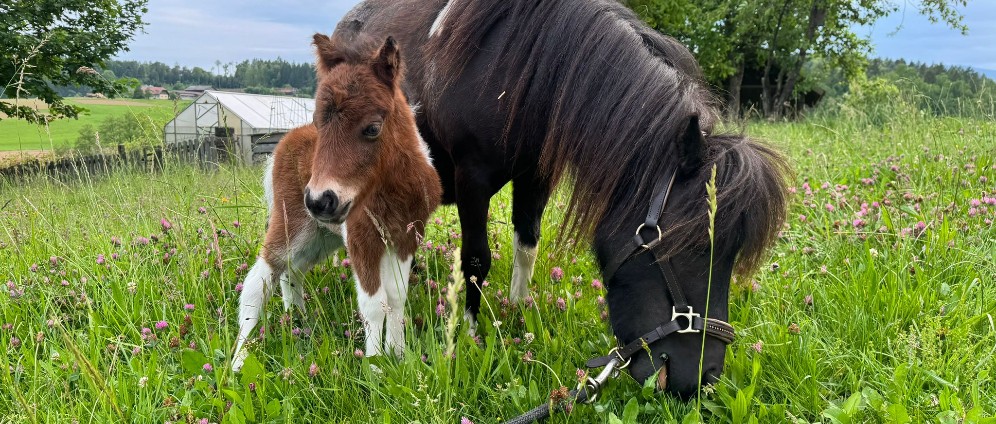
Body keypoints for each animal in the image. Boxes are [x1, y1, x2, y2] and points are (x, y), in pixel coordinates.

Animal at [232, 34, 442, 371]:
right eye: (319, 123)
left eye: (372, 128)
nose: (320, 200)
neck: (391, 190)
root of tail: (283, 143)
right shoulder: (361, 237)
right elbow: (374, 304)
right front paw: (375, 368)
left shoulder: (406, 235)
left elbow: (396, 297)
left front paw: (398, 358)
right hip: (292, 222)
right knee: (259, 280)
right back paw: (238, 361)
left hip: (320, 235)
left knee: (292, 271)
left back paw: (298, 322)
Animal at [332, 0, 790, 398]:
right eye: (685, 244)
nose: (701, 380)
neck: (517, 64)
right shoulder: (471, 178)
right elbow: (476, 259)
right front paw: (473, 331)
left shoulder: (536, 176)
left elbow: (527, 244)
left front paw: (519, 313)